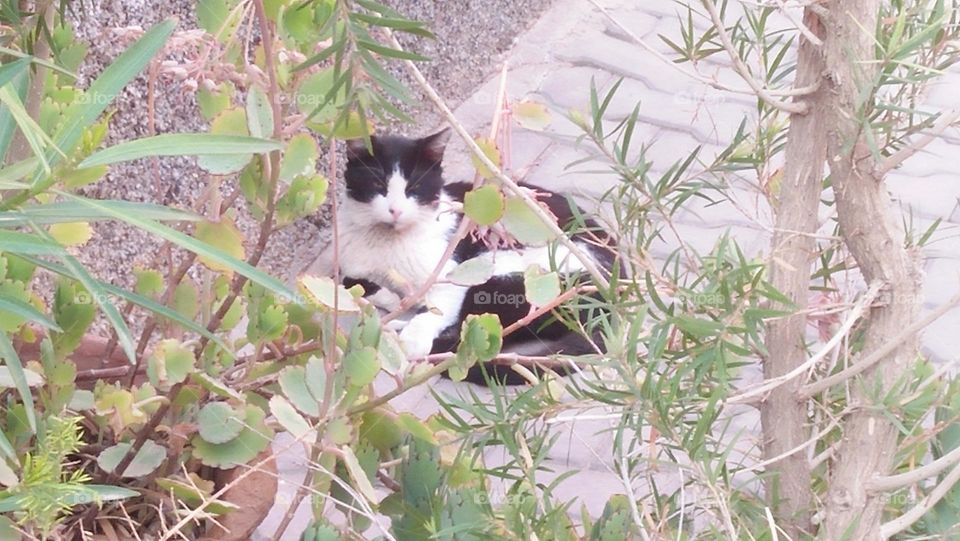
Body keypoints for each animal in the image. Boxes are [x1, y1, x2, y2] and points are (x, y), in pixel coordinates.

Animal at [334, 128, 620, 382]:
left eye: (414, 186)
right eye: (377, 184)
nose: (395, 210)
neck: (390, 241)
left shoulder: (450, 272)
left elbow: (435, 309)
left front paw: (412, 335)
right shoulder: (348, 264)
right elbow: (352, 283)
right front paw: (394, 300)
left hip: (511, 278)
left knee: (474, 335)